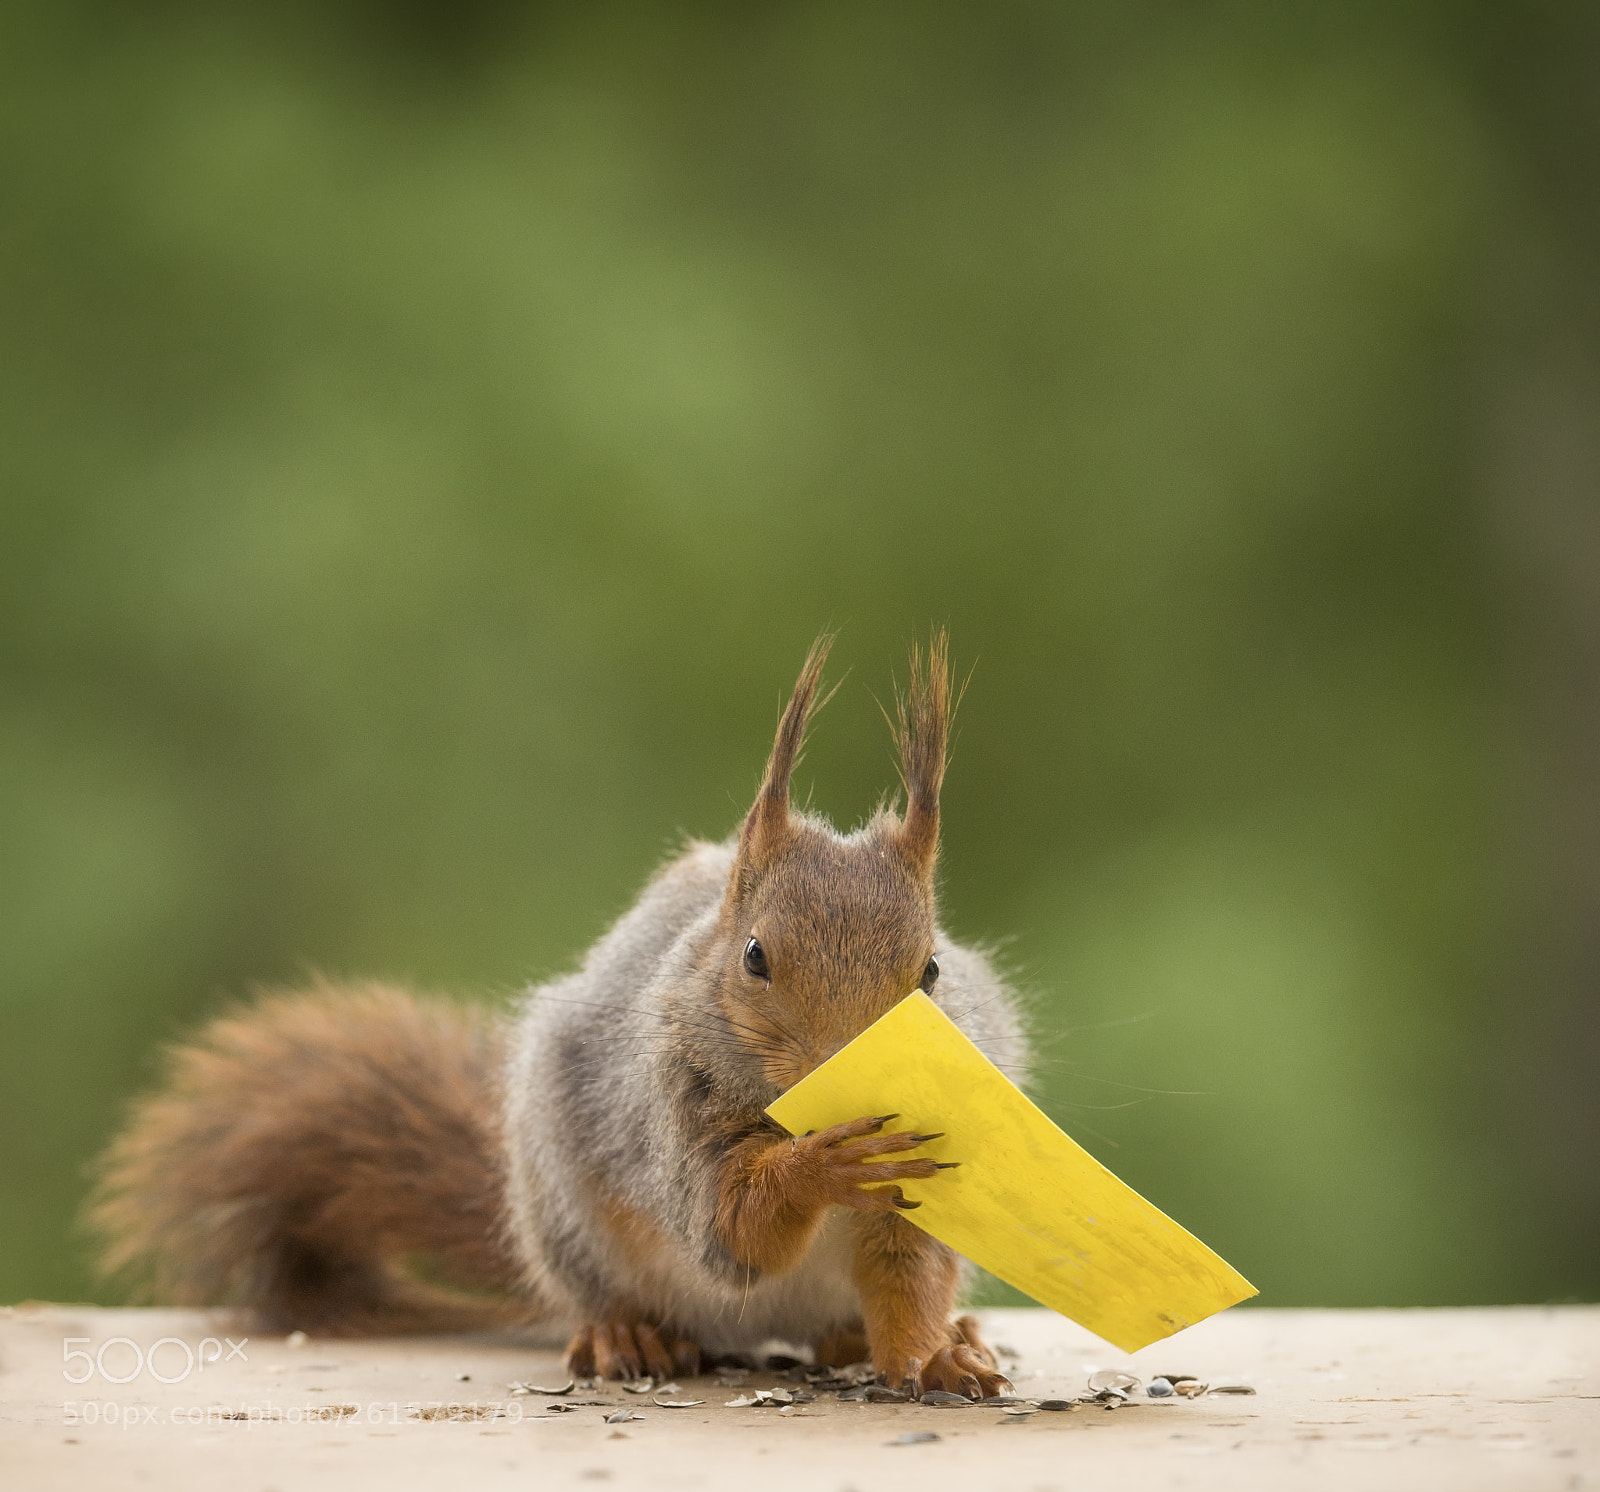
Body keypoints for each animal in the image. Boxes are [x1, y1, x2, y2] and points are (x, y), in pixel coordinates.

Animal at [91, 633, 1028, 1399]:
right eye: (755, 956)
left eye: (933, 970)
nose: (854, 1075)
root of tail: (762, 1332)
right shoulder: (667, 1109)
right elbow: (727, 1228)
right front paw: (821, 1164)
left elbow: (906, 1272)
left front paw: (930, 1357)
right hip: (565, 1213)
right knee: (623, 1295)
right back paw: (627, 1337)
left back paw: (922, 1334)